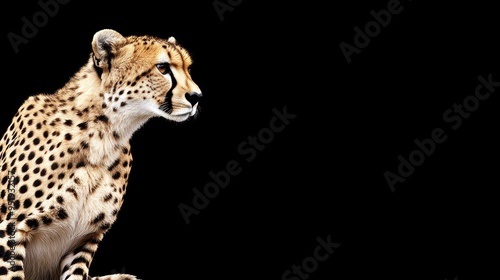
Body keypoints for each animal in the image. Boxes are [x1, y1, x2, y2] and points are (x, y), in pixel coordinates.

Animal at [1, 29, 203, 280]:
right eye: (163, 68)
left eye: (188, 68)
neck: (104, 134)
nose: (197, 96)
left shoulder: (85, 239)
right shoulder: (11, 231)